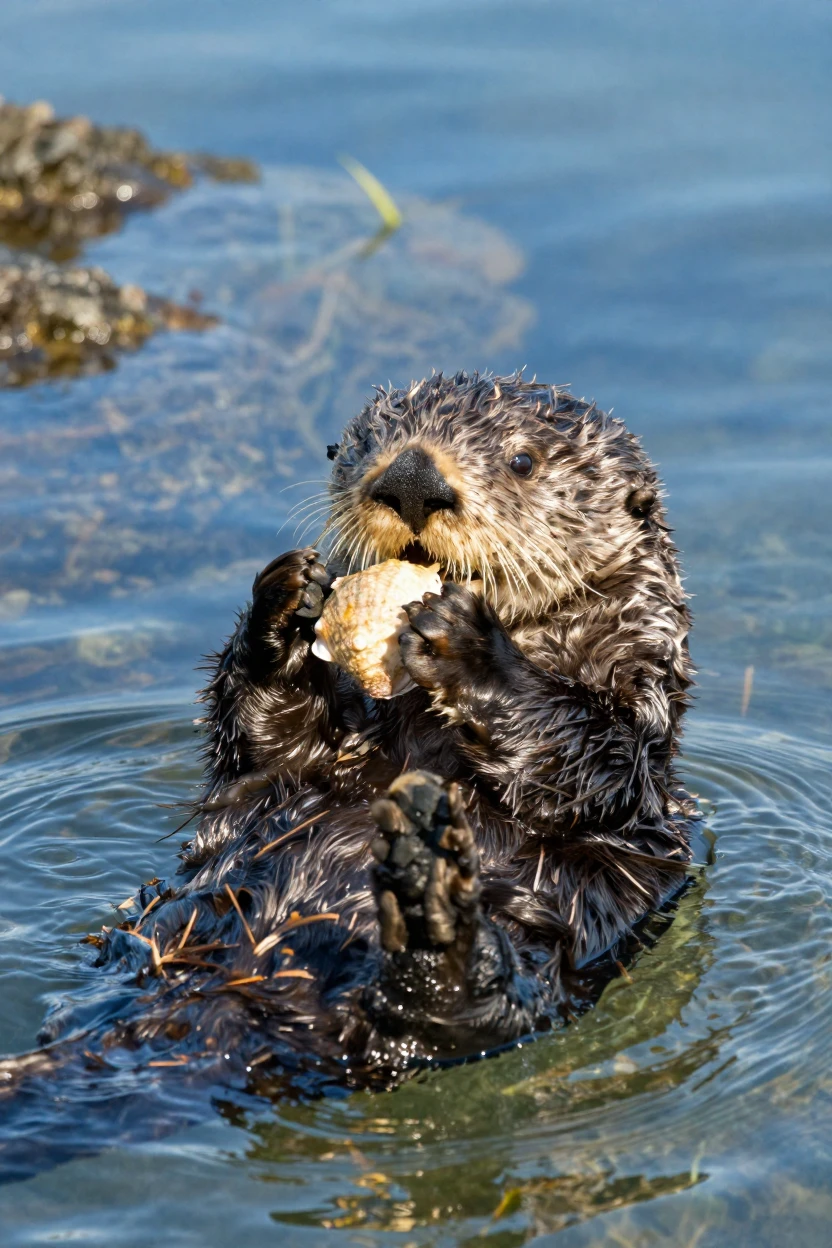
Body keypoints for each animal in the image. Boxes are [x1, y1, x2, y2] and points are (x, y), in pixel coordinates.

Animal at [1, 372, 695, 1151]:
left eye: (522, 461)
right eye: (364, 442)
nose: (411, 478)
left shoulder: (635, 737)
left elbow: (585, 757)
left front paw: (467, 642)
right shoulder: (308, 756)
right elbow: (269, 742)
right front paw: (283, 601)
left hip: (484, 1006)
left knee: (448, 1010)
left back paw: (428, 893)